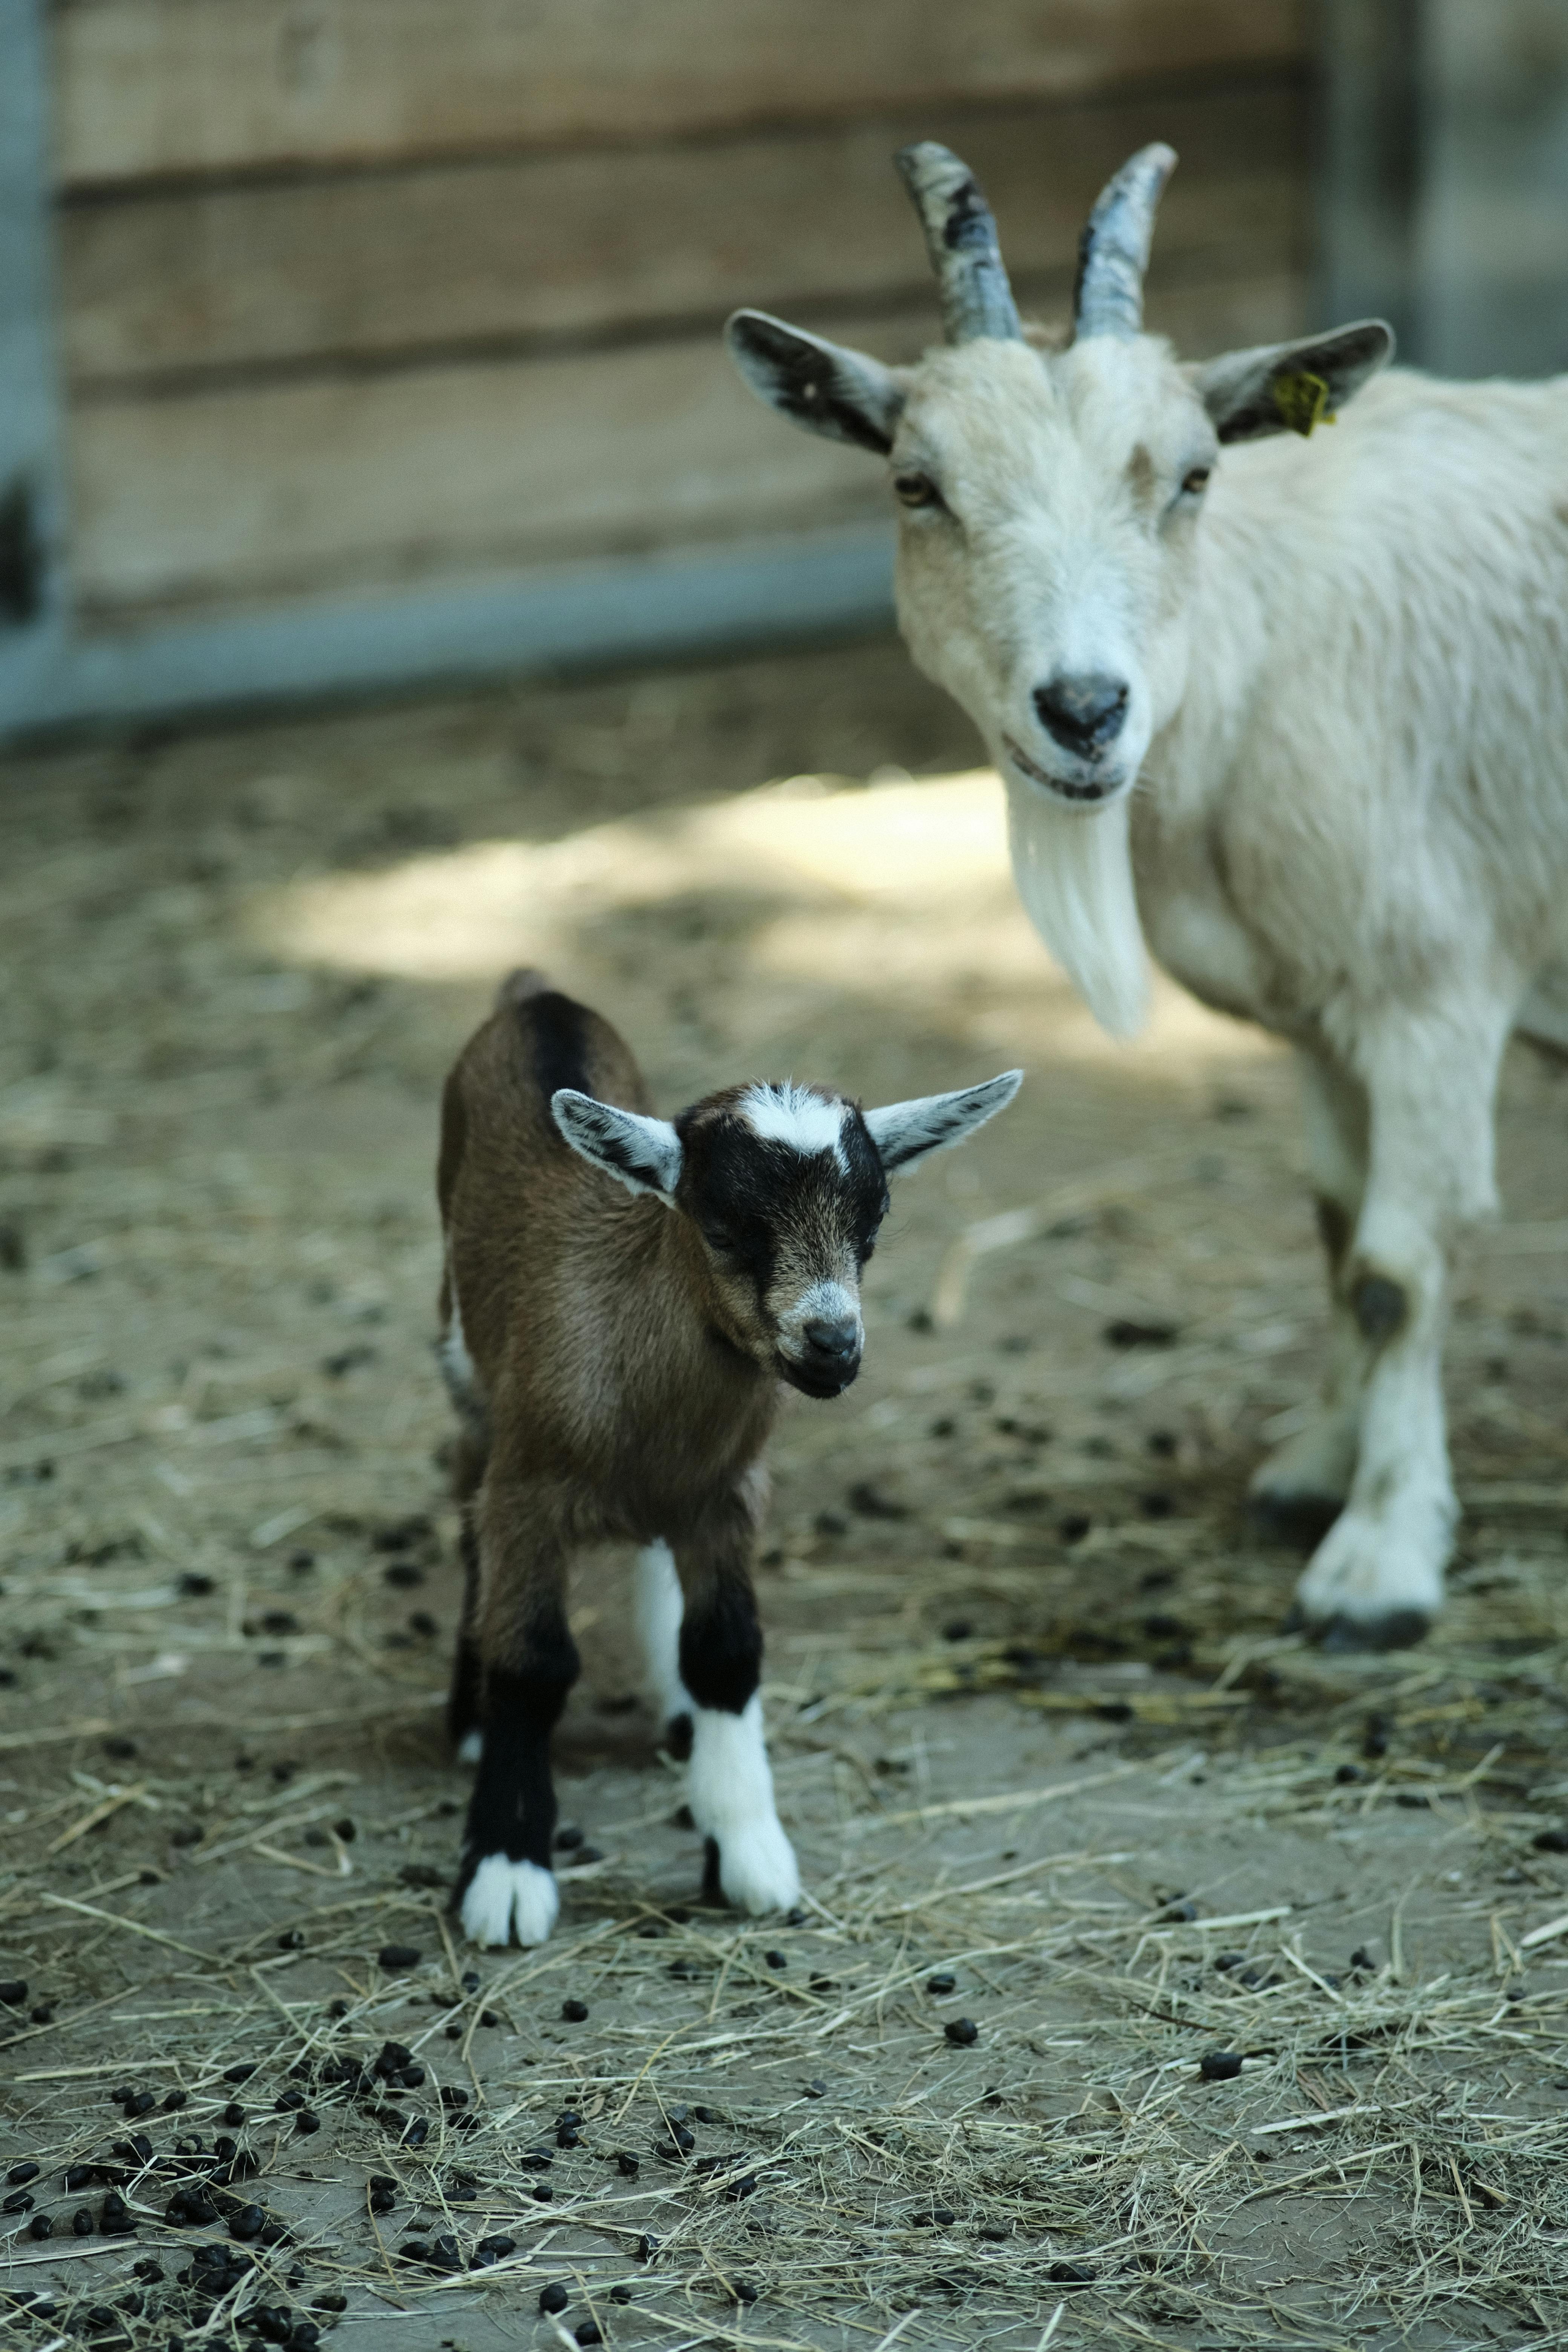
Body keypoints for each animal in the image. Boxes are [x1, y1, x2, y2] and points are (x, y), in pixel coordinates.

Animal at [437, 970, 1019, 1945]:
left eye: (873, 1219)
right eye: (723, 1223)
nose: (832, 1346)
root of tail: (537, 994)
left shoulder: (728, 1496)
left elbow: (728, 1651)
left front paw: (748, 1848)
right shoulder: (528, 1490)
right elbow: (535, 1662)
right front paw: (508, 1871)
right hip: (462, 1361)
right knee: (461, 1493)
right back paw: (466, 1715)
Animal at [726, 139, 1568, 1649]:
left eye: (1191, 474)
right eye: (916, 483)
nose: (1084, 709)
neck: (1255, 647)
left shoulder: (1433, 986)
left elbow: (1399, 1266)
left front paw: (1378, 1560)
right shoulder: (1323, 1010)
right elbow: (1337, 1229)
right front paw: (1312, 1467)